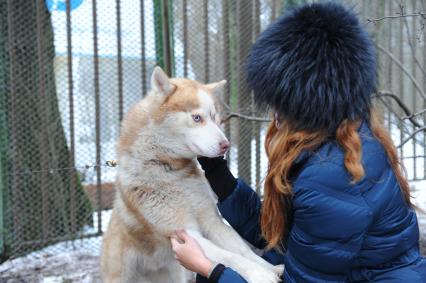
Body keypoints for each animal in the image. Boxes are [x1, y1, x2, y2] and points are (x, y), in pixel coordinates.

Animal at [100, 67, 282, 282]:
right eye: (197, 118)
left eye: (214, 117)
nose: (226, 145)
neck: (169, 171)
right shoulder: (186, 233)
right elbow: (230, 257)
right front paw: (260, 274)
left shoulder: (212, 222)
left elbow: (243, 251)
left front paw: (271, 268)